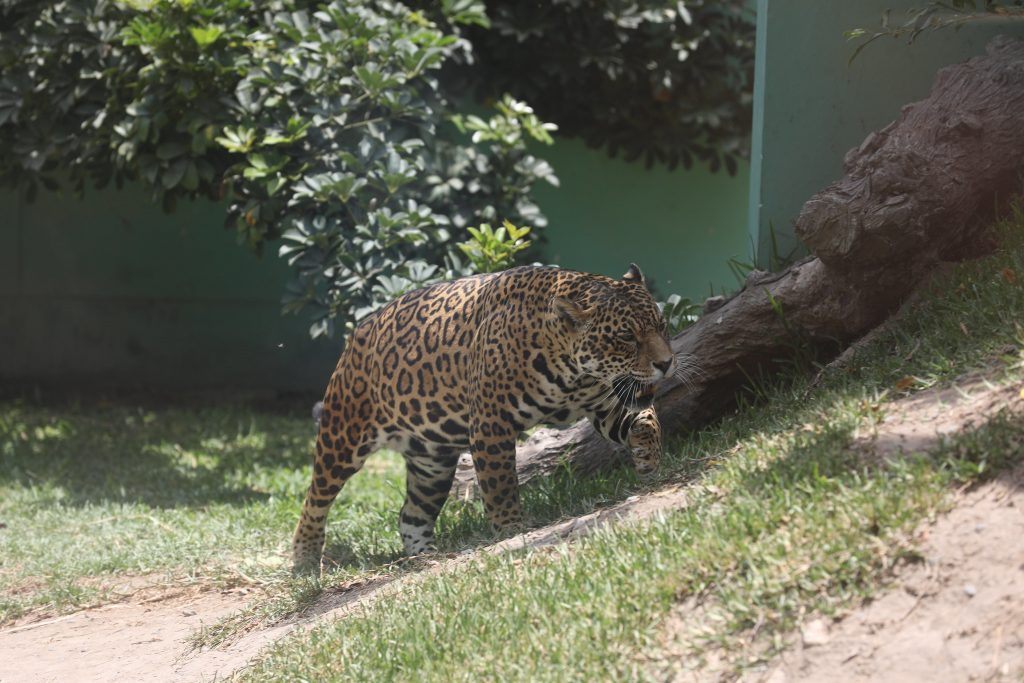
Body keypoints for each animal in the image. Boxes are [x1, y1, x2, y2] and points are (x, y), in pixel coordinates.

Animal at [292, 262, 679, 569]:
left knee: (411, 515)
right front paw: (511, 530)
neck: (571, 368)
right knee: (315, 499)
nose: (666, 363)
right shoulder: (492, 424)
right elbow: (500, 484)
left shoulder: (605, 406)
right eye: (626, 337)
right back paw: (305, 560)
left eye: (661, 325)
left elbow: (647, 420)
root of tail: (358, 332)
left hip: (432, 464)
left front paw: (649, 460)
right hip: (343, 434)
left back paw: (426, 558)